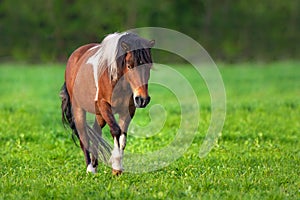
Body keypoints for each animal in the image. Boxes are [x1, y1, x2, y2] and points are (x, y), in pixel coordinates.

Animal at [60, 32, 156, 175]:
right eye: (129, 66)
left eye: (149, 66)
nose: (142, 99)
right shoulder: (104, 105)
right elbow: (116, 130)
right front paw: (115, 165)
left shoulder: (128, 110)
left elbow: (123, 137)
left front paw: (117, 168)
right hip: (79, 109)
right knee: (84, 137)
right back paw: (90, 168)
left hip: (99, 113)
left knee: (96, 131)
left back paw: (95, 165)